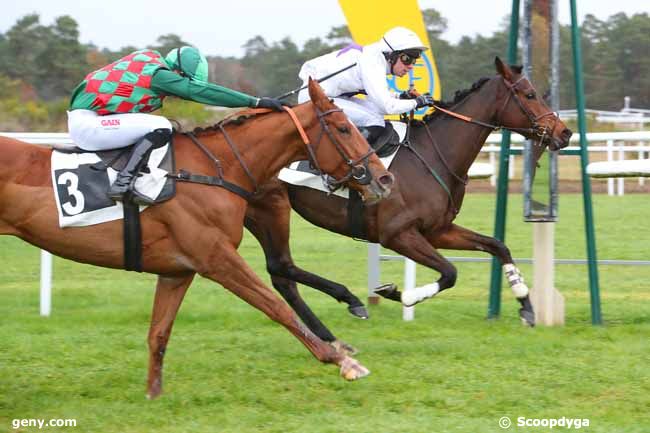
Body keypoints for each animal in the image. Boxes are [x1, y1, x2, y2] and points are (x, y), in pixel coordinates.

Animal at [0, 79, 394, 396]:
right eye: (344, 128)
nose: (384, 178)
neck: (213, 169)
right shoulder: (216, 258)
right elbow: (275, 306)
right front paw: (342, 360)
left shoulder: (177, 270)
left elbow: (158, 334)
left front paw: (153, 395)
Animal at [246, 57, 568, 348]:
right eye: (530, 94)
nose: (565, 132)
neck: (434, 155)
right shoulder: (397, 234)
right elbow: (450, 273)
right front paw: (395, 293)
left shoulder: (437, 230)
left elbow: (497, 246)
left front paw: (526, 305)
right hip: (270, 209)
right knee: (281, 266)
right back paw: (347, 305)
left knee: (281, 272)